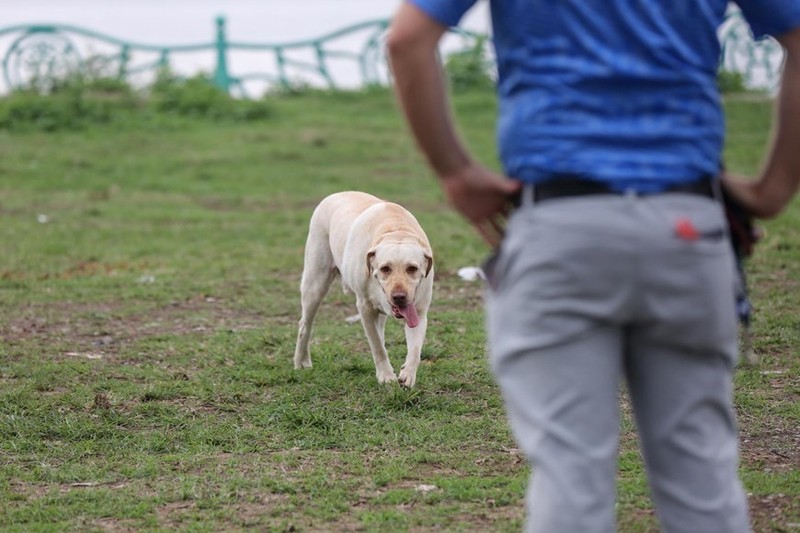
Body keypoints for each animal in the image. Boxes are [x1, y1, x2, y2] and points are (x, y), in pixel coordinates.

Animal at [292, 191, 432, 386]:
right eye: (385, 268)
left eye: (412, 268)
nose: (399, 296)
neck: (396, 231)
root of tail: (336, 193)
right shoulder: (365, 308)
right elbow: (378, 347)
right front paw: (386, 376)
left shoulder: (418, 311)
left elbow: (415, 350)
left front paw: (407, 375)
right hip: (315, 283)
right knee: (305, 325)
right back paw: (301, 361)